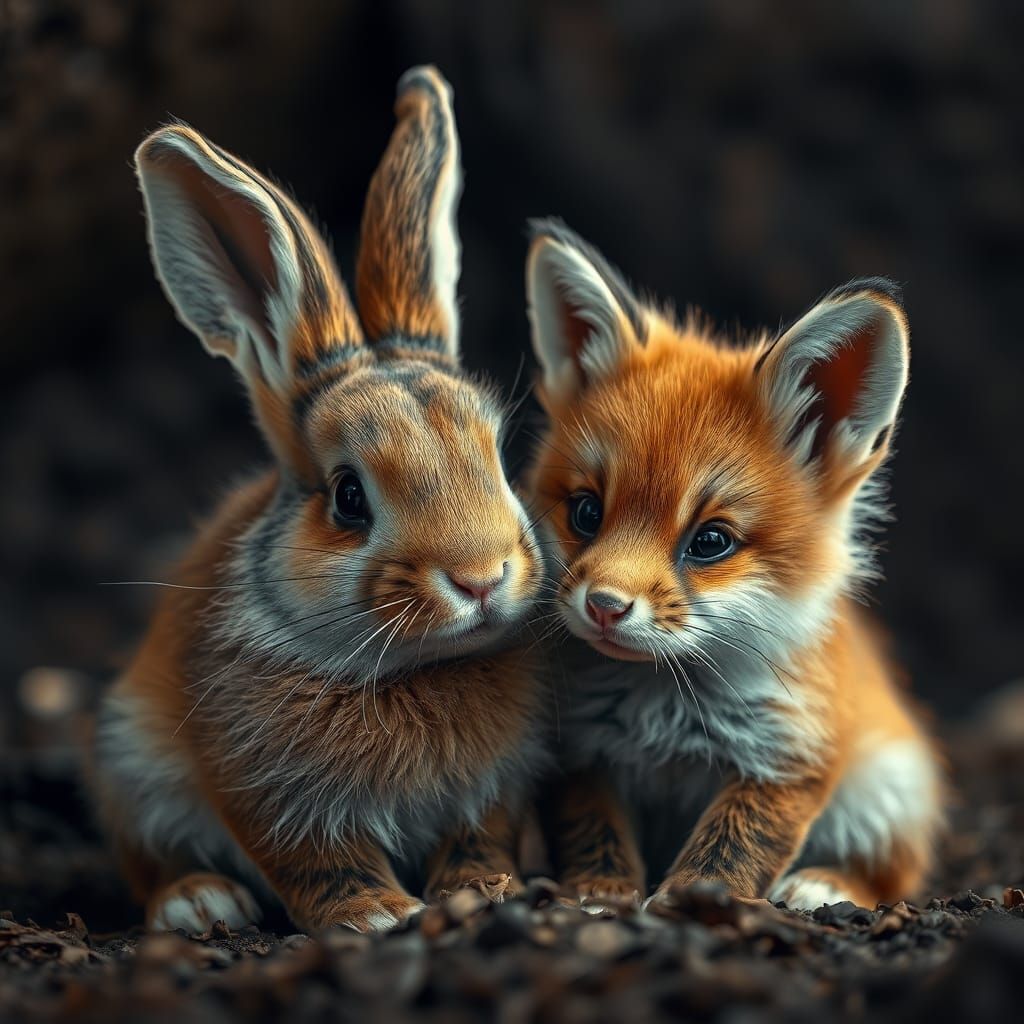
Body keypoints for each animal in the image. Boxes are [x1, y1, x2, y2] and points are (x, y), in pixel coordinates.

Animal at [89, 66, 547, 934]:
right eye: (348, 498)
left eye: (500, 460)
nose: (481, 578)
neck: (409, 667)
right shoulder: (265, 793)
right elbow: (317, 861)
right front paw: (377, 915)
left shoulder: (494, 792)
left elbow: (481, 837)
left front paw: (483, 892)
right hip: (132, 763)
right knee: (147, 862)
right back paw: (198, 903)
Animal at [523, 219, 944, 911]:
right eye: (586, 512)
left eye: (711, 541)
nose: (604, 606)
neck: (665, 704)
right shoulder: (582, 751)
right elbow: (594, 830)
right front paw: (599, 895)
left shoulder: (790, 756)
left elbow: (733, 845)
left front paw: (690, 904)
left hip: (886, 790)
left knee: (894, 876)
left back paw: (827, 885)